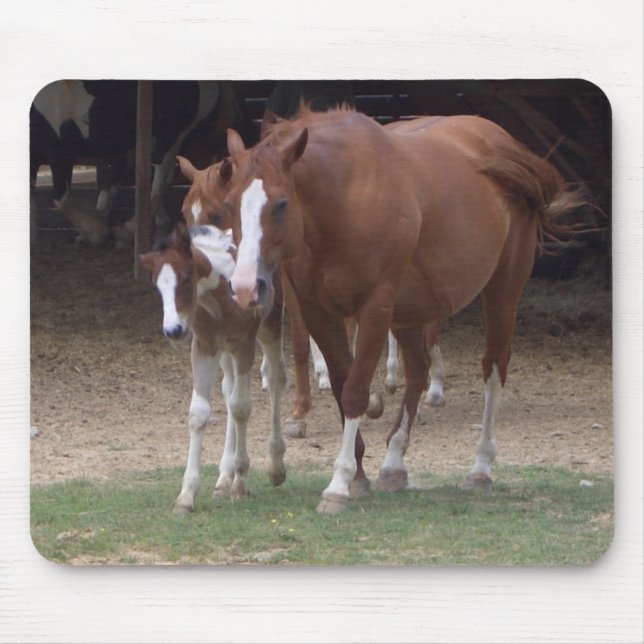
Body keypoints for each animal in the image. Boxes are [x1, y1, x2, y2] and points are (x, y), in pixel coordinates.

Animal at [139, 223, 287, 513]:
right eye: (156, 286)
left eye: (187, 278)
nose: (173, 331)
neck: (219, 299)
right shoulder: (204, 347)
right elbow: (199, 413)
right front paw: (186, 496)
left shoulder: (244, 345)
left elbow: (242, 407)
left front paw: (241, 483)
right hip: (224, 353)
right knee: (229, 390)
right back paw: (222, 480)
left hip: (270, 327)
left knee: (274, 378)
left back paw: (275, 466)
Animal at [221, 106, 582, 514]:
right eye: (230, 204)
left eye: (281, 204)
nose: (246, 286)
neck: (345, 199)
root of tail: (504, 144)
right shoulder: (319, 312)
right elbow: (343, 388)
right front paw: (360, 476)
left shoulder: (375, 309)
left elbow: (355, 393)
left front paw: (339, 484)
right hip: (412, 310)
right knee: (418, 371)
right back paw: (394, 463)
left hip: (502, 291)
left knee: (494, 368)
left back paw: (481, 468)